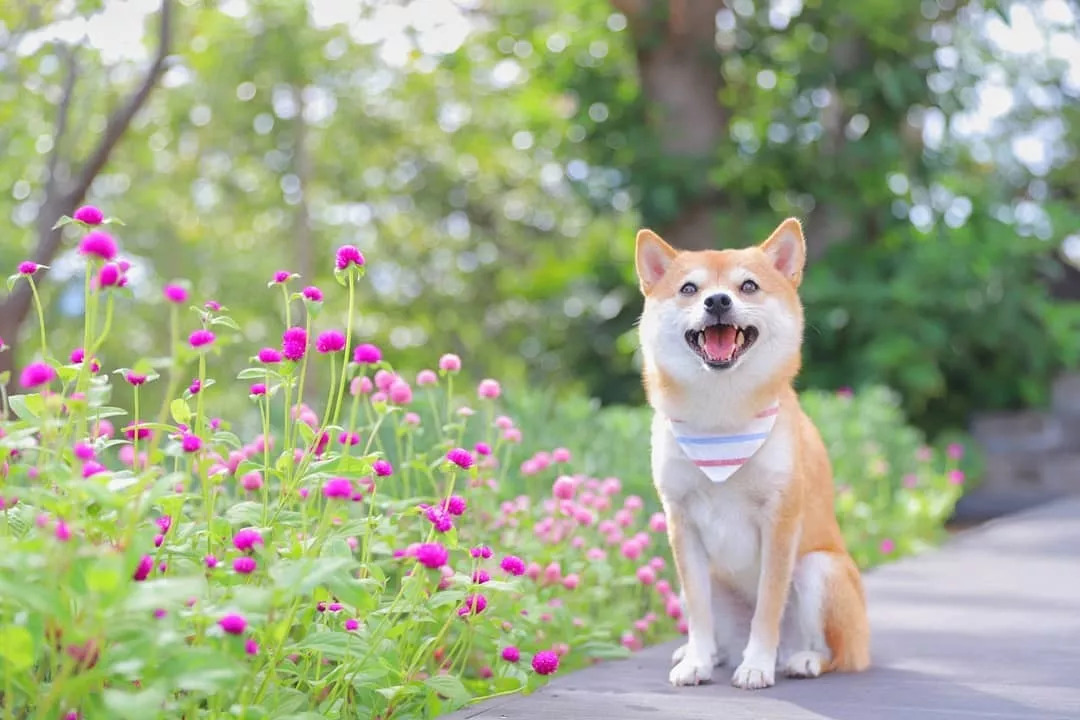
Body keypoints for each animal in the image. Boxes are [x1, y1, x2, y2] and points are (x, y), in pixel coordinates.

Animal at [630, 216, 868, 690]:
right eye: (689, 288)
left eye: (748, 286)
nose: (718, 300)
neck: (721, 420)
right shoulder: (681, 522)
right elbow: (699, 612)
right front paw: (696, 660)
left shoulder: (780, 520)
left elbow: (768, 607)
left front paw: (756, 664)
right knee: (714, 626)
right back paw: (708, 653)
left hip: (820, 569)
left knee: (835, 653)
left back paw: (802, 659)